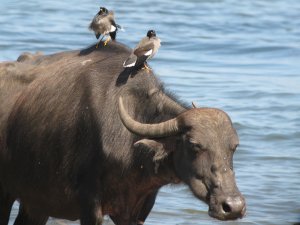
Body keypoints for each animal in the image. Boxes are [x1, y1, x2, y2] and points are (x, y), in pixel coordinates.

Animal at [0, 41, 246, 224]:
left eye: (233, 147)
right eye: (195, 145)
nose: (232, 206)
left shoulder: (136, 210)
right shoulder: (90, 205)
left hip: (36, 204)